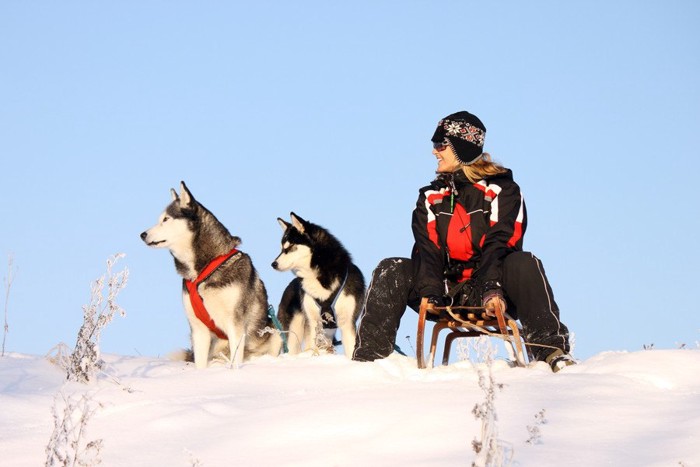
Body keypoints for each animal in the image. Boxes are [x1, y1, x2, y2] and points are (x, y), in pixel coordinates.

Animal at [139, 183, 282, 370]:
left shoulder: (235, 324)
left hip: (276, 332)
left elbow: (235, 359)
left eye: (166, 219)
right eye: (160, 219)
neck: (205, 271)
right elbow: (200, 363)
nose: (142, 234)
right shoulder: (198, 328)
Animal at [270, 213, 364, 358]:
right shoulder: (313, 323)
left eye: (290, 246)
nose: (273, 264)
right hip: (290, 332)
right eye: (281, 248)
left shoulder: (347, 323)